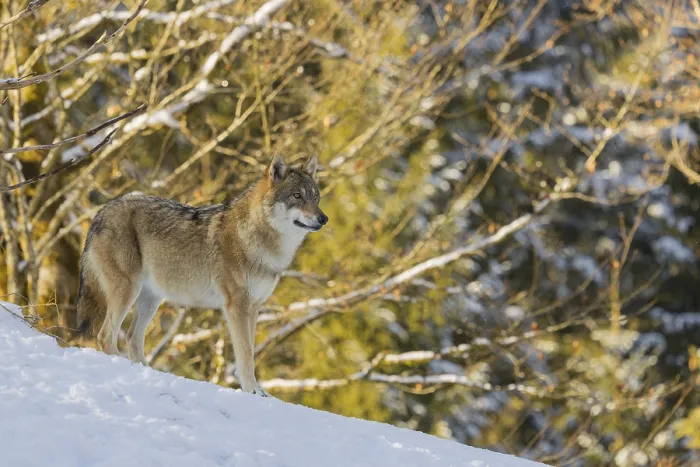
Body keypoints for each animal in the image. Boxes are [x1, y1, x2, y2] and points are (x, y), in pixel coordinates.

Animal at [75, 155, 327, 397]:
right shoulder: (236, 306)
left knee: (132, 338)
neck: (257, 240)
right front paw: (253, 390)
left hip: (150, 300)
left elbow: (249, 353)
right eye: (297, 196)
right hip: (128, 291)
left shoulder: (254, 307)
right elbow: (246, 353)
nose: (323, 219)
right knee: (105, 335)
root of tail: (102, 211)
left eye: (316, 197)